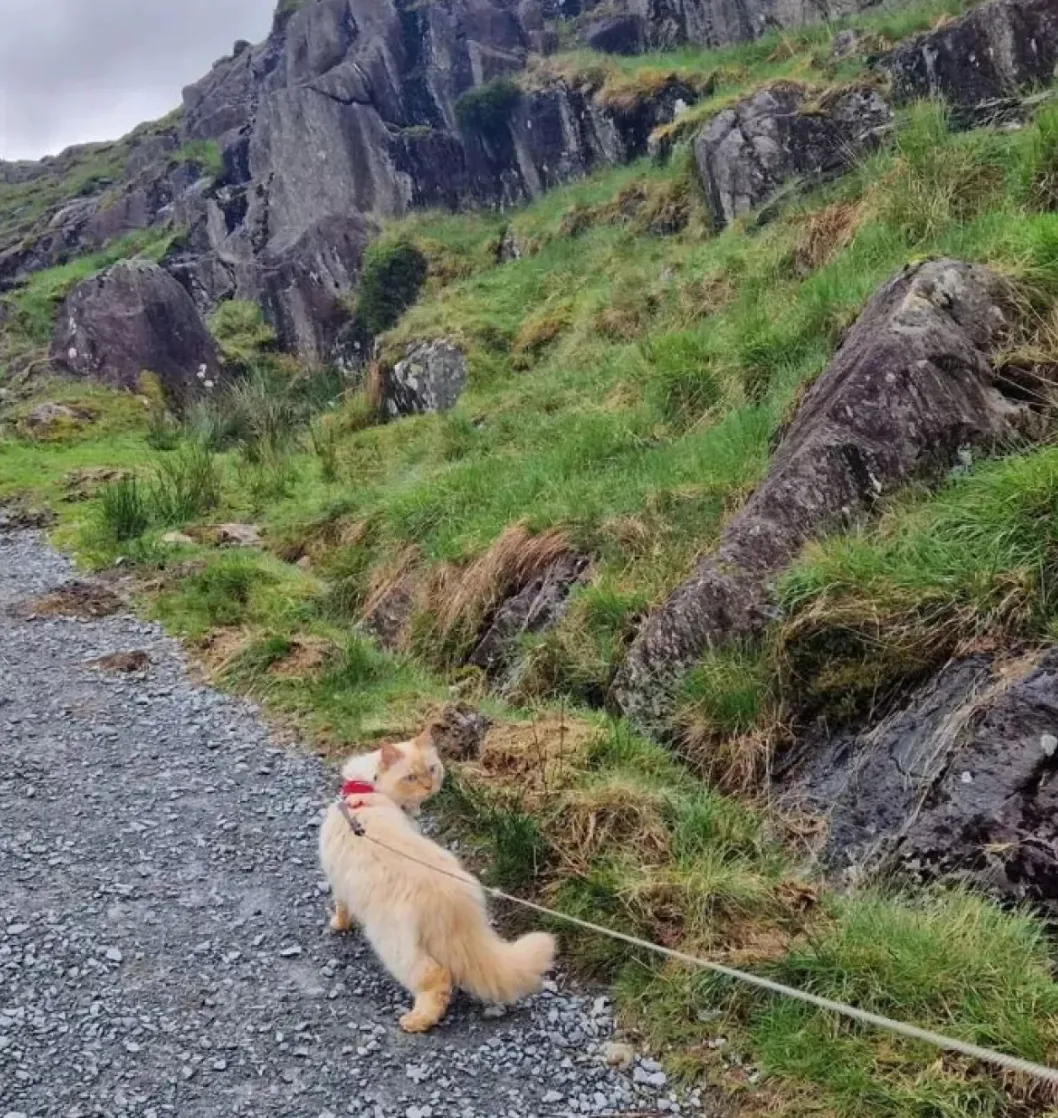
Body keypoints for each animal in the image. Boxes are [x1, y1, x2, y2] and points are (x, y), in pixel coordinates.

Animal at [319, 769, 552, 1028]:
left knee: (435, 978)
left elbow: (341, 908)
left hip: (394, 943)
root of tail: (451, 898)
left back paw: (417, 1020)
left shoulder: (337, 881)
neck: (361, 797)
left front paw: (337, 925)